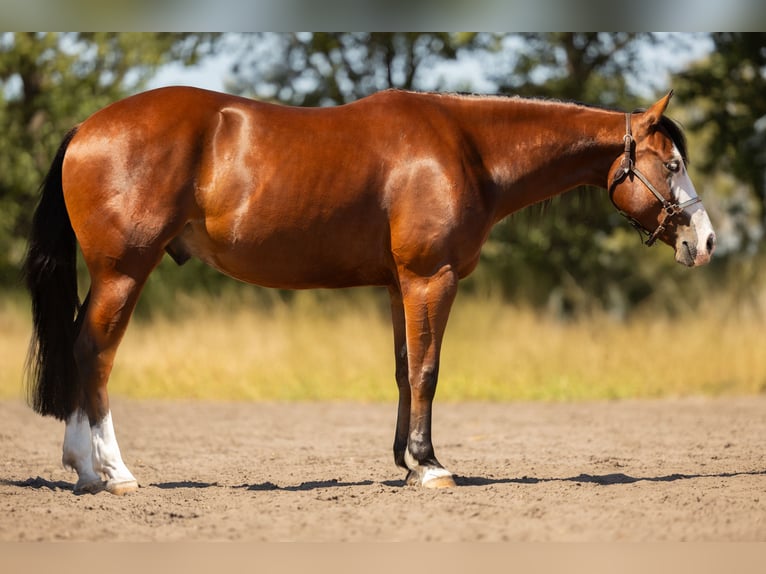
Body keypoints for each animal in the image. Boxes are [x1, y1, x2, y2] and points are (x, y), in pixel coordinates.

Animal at [23, 86, 716, 494]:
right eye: (673, 164)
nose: (705, 241)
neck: (465, 148)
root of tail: (86, 127)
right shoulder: (429, 278)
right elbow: (429, 369)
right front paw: (431, 466)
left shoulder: (397, 283)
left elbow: (405, 368)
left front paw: (405, 462)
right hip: (123, 273)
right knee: (95, 355)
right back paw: (112, 472)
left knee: (83, 352)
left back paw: (83, 471)